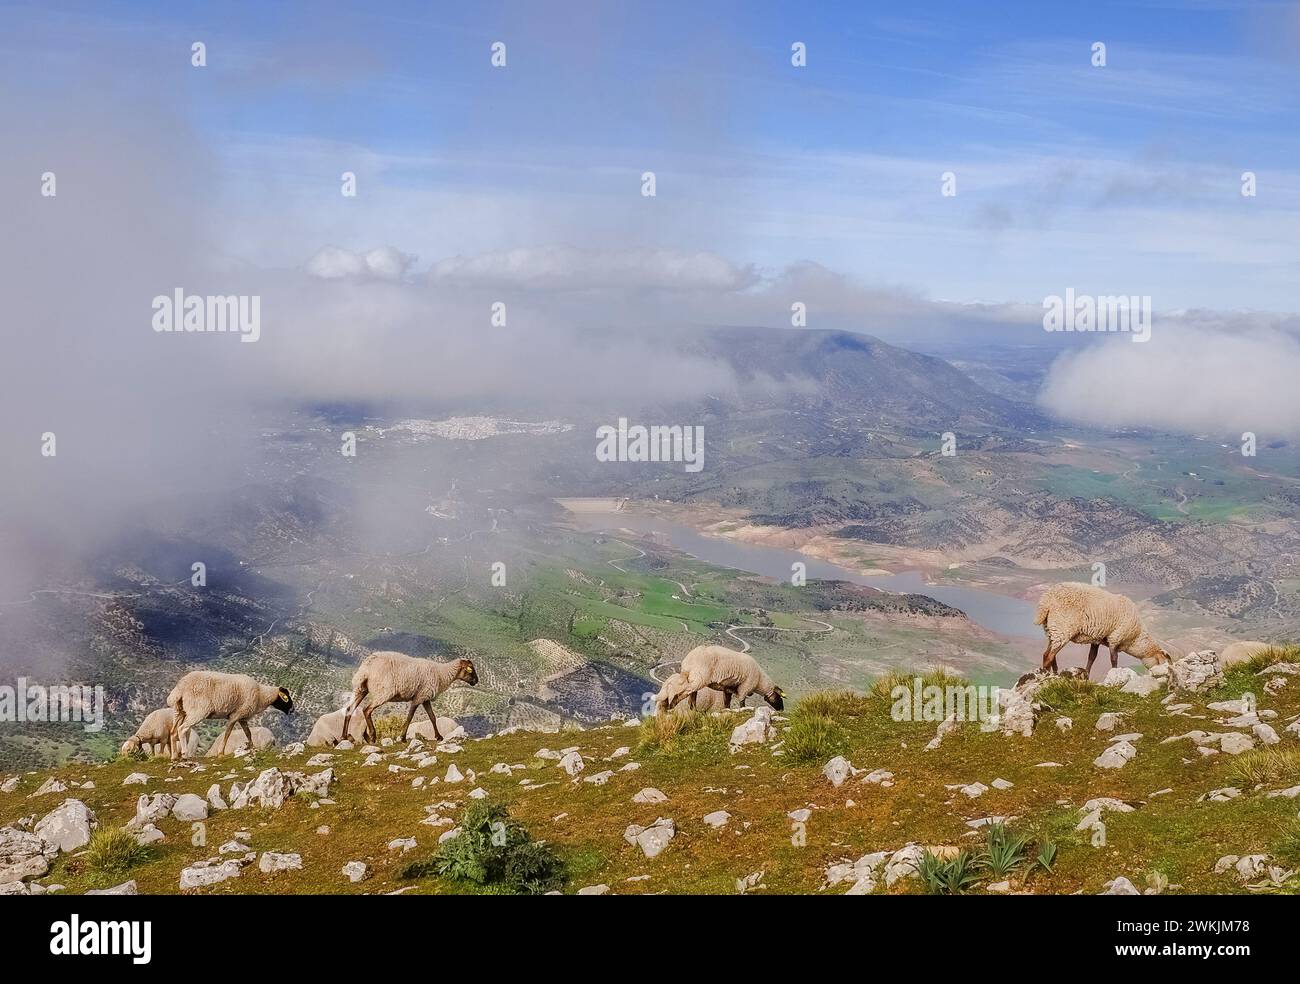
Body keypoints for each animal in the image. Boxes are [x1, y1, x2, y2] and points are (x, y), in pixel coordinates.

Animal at [340, 649, 478, 738]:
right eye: (471, 670)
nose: (476, 681)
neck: (441, 674)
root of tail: (366, 668)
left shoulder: (425, 697)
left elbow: (432, 717)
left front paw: (439, 736)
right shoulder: (419, 697)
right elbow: (410, 717)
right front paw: (402, 737)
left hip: (361, 689)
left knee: (349, 709)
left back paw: (344, 737)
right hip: (383, 691)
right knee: (367, 709)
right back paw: (372, 736)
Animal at [1034, 582, 1180, 675]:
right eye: (1163, 663)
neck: (1136, 637)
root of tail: (1046, 600)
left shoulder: (1096, 638)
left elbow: (1091, 657)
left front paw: (1087, 674)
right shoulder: (1115, 638)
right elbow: (1114, 660)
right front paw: (1114, 673)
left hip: (1053, 629)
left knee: (1050, 654)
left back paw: (1055, 673)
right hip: (1063, 627)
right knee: (1048, 655)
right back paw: (1046, 676)